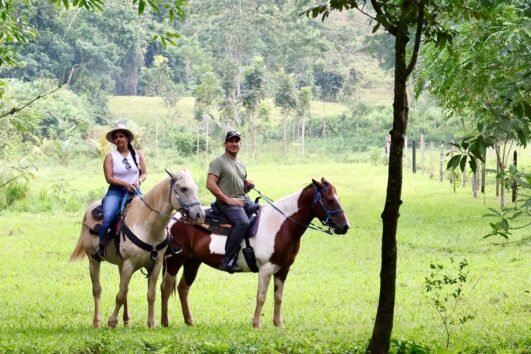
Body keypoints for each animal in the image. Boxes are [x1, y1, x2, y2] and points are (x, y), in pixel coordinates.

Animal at [69, 170, 206, 328]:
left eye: (196, 188)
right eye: (183, 188)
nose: (200, 215)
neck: (147, 225)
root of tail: (89, 209)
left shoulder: (155, 265)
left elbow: (149, 294)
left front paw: (151, 323)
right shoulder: (130, 264)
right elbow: (120, 294)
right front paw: (111, 322)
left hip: (120, 264)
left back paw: (126, 320)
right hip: (94, 259)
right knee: (97, 289)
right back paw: (97, 322)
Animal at [160, 178, 352, 328]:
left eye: (338, 198)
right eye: (329, 200)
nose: (345, 226)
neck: (281, 225)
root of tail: (174, 219)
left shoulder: (283, 269)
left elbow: (278, 297)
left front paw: (278, 324)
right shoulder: (266, 269)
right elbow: (261, 296)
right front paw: (256, 324)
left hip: (193, 262)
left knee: (183, 288)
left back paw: (189, 321)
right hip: (175, 261)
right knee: (165, 287)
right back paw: (164, 322)